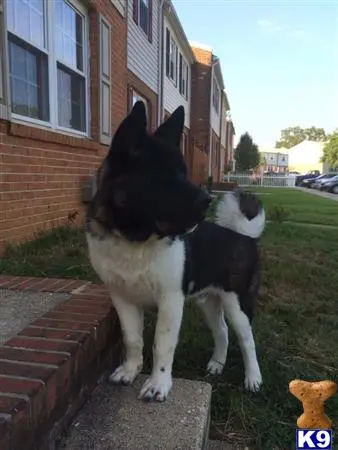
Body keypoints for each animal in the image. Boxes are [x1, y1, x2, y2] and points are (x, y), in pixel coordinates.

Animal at [86, 101, 266, 400]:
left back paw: (253, 378)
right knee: (222, 331)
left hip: (236, 302)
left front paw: (158, 385)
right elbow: (132, 338)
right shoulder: (122, 298)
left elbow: (162, 343)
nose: (207, 200)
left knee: (247, 340)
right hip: (209, 301)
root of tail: (243, 236)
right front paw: (130, 370)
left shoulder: (170, 300)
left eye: (183, 171)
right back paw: (217, 364)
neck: (135, 241)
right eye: (161, 176)